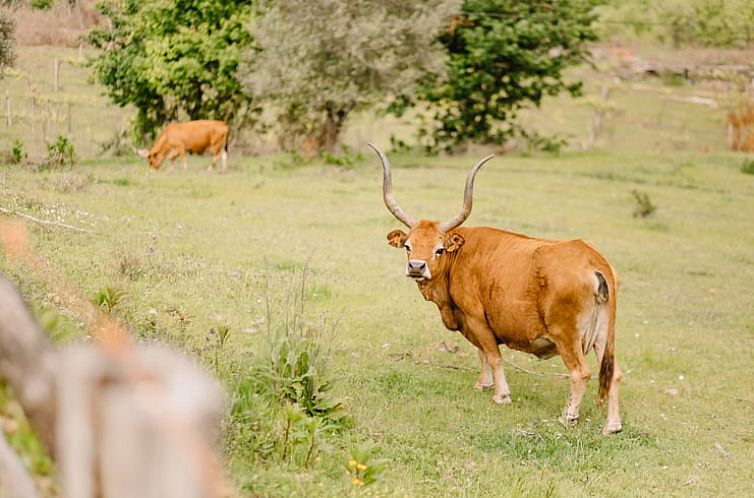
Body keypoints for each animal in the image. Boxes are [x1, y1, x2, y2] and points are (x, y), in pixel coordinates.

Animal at [370, 142, 624, 434]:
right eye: (408, 246)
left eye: (439, 249)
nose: (416, 266)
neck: (461, 254)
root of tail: (592, 259)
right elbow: (482, 353)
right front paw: (484, 384)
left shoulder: (476, 318)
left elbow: (493, 355)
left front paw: (501, 394)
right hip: (605, 336)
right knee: (614, 373)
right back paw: (612, 425)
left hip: (566, 335)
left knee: (580, 372)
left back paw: (568, 416)